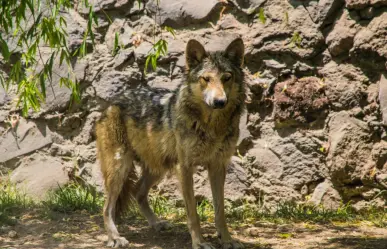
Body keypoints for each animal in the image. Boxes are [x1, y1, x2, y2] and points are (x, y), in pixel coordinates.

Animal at [96, 37, 246, 249]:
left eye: (227, 77)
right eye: (206, 79)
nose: (219, 102)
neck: (212, 126)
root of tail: (112, 103)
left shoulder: (218, 166)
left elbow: (220, 211)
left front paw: (226, 240)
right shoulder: (185, 168)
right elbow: (192, 213)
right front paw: (199, 242)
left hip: (159, 167)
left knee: (138, 192)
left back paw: (157, 224)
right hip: (120, 168)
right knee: (106, 207)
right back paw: (115, 237)